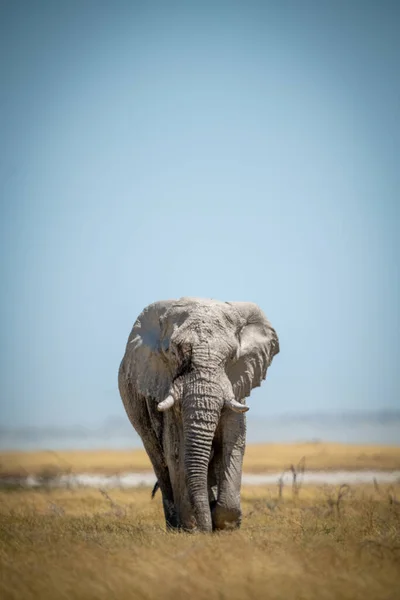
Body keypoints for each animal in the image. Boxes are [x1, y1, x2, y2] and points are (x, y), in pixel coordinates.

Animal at [117, 298, 280, 532]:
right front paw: (194, 530)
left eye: (232, 356)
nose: (206, 529)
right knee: (159, 460)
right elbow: (177, 451)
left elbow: (233, 442)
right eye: (172, 353)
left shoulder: (237, 385)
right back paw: (175, 525)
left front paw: (225, 525)